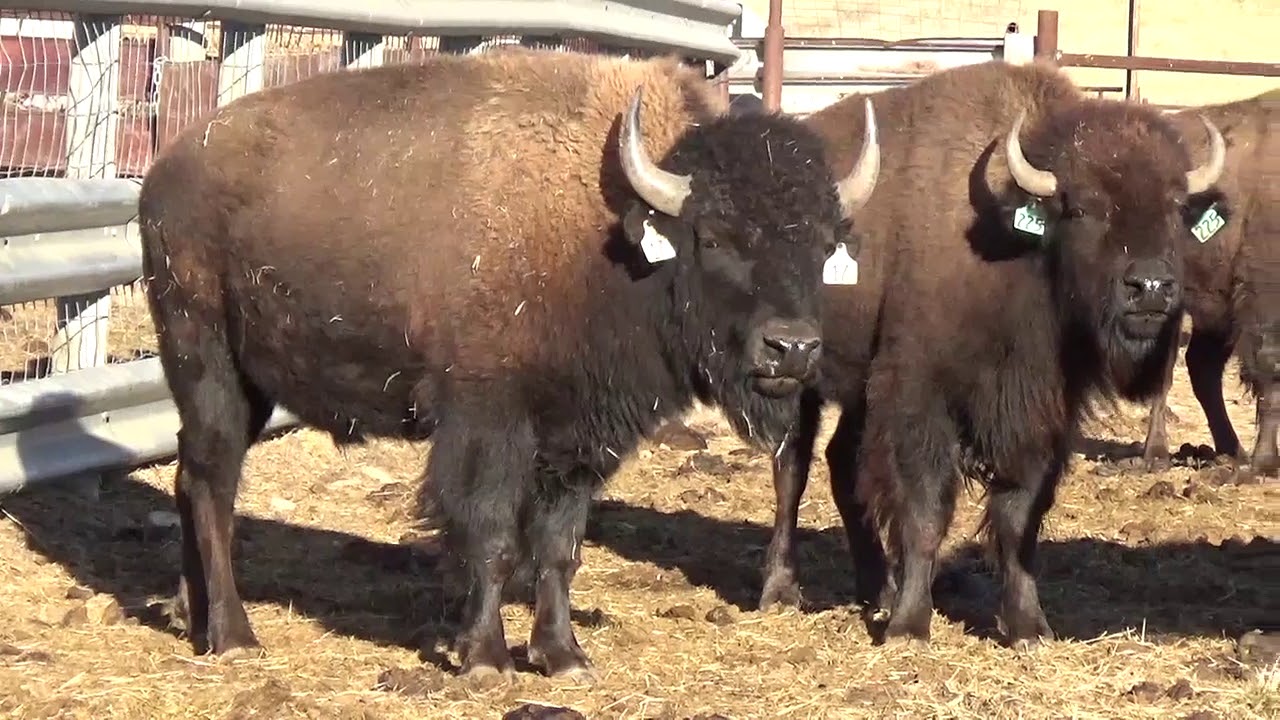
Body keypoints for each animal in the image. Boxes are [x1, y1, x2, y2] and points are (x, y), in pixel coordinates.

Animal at [137, 48, 881, 680]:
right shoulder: (487, 423)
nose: (792, 348)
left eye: (824, 244)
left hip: (249, 384)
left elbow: (558, 547)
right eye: (717, 236)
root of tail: (164, 172)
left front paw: (563, 656)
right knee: (212, 481)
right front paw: (487, 660)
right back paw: (235, 638)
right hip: (205, 359)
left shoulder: (579, 439)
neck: (610, 233)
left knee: (192, 476)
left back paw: (193, 617)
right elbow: (491, 536)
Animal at [752, 60, 1225, 648]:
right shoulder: (918, 398)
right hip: (797, 373)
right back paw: (781, 591)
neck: (1016, 250)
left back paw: (877, 588)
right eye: (1082, 207)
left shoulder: (1040, 417)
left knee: (841, 463)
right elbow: (925, 511)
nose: (1152, 288)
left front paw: (1028, 627)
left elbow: (1019, 518)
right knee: (791, 469)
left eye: (1178, 207)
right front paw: (909, 627)